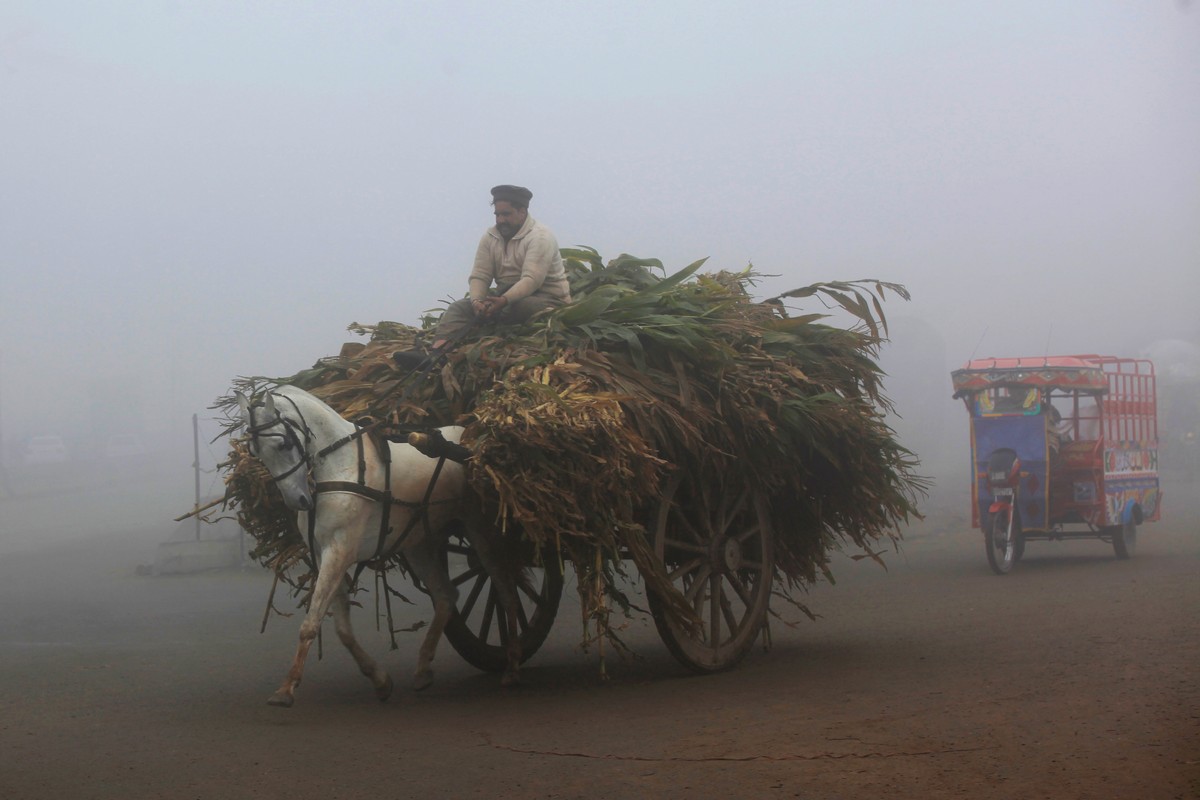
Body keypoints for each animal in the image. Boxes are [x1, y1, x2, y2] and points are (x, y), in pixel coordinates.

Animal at [235, 386, 520, 705]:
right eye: (256, 452)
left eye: (283, 444)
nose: (297, 500)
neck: (341, 465)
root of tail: (471, 440)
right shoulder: (325, 556)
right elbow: (342, 629)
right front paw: (379, 678)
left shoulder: (340, 551)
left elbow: (311, 623)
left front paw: (287, 687)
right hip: (418, 543)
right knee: (446, 595)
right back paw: (424, 668)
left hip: (481, 531)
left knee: (505, 588)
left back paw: (512, 665)